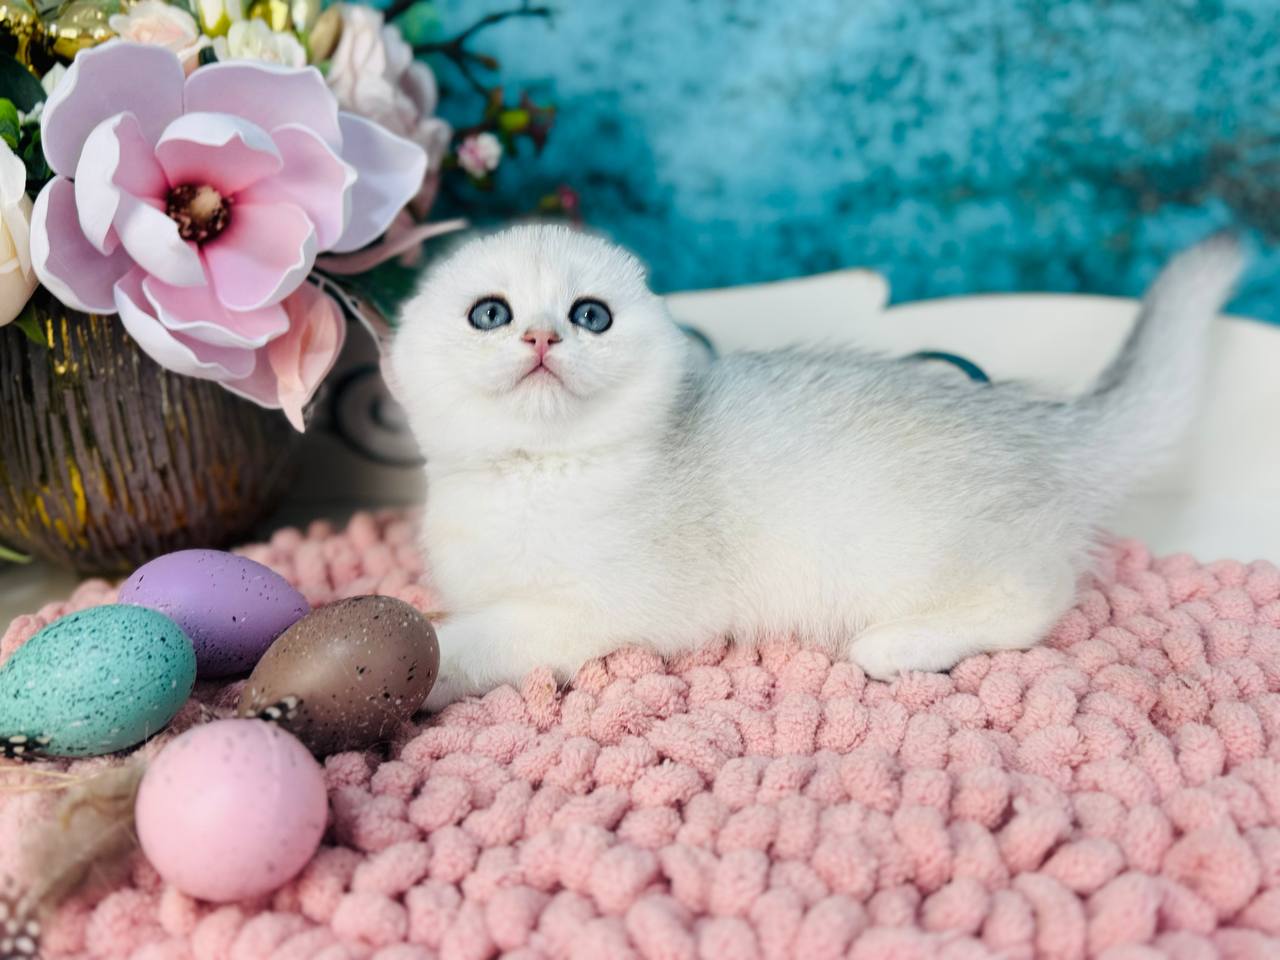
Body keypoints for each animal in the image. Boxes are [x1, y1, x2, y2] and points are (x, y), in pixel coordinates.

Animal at [390, 225, 1244, 708]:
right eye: (491, 313)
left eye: (589, 315)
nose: (542, 338)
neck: (534, 471)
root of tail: (1031, 421)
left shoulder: (591, 612)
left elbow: (472, 638)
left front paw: (432, 672)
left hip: (905, 554)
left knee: (1038, 592)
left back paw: (898, 645)